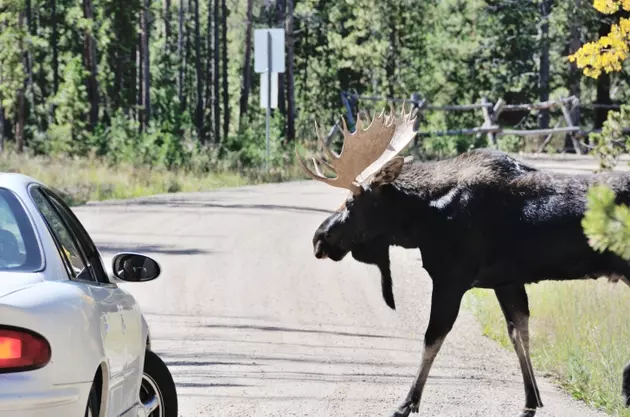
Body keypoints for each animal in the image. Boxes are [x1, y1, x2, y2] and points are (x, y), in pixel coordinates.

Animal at [298, 103, 630, 416]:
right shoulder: (506, 281)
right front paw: (531, 401)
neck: (420, 221)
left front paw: (407, 403)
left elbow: (432, 338)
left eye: (351, 202)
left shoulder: (451, 278)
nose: (319, 238)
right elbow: (518, 334)